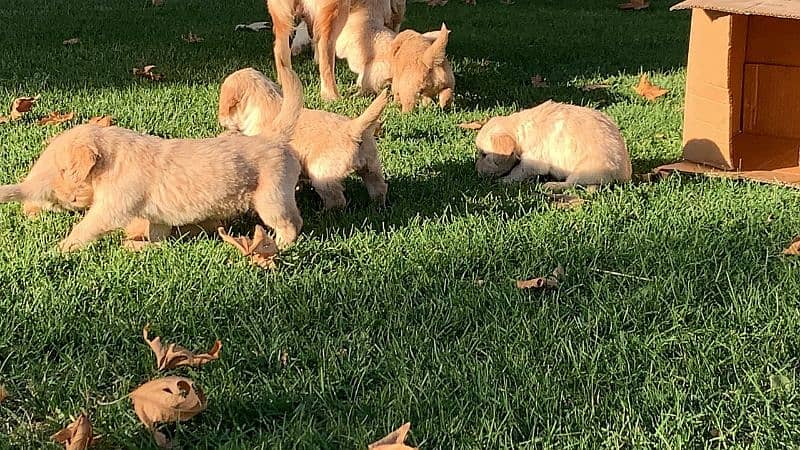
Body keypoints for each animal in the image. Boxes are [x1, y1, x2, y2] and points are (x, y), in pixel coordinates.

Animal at [2, 67, 306, 251]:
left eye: (64, 170)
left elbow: (87, 225)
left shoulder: (112, 206)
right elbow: (156, 232)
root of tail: (273, 137)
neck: (113, 158)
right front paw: (149, 246)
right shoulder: (157, 217)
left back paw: (280, 245)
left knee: (292, 223)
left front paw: (63, 247)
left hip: (271, 198)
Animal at [220, 67, 390, 211]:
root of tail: (354, 128)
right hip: (371, 165)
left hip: (322, 174)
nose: (220, 121)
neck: (266, 103)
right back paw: (378, 206)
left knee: (337, 200)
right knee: (379, 187)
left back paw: (324, 212)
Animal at [476, 101, 632, 191]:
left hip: (587, 168)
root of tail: (625, 176)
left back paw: (552, 185)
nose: (476, 171)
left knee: (571, 183)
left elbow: (518, 171)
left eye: (484, 154)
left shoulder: (534, 161)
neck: (520, 127)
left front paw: (505, 180)